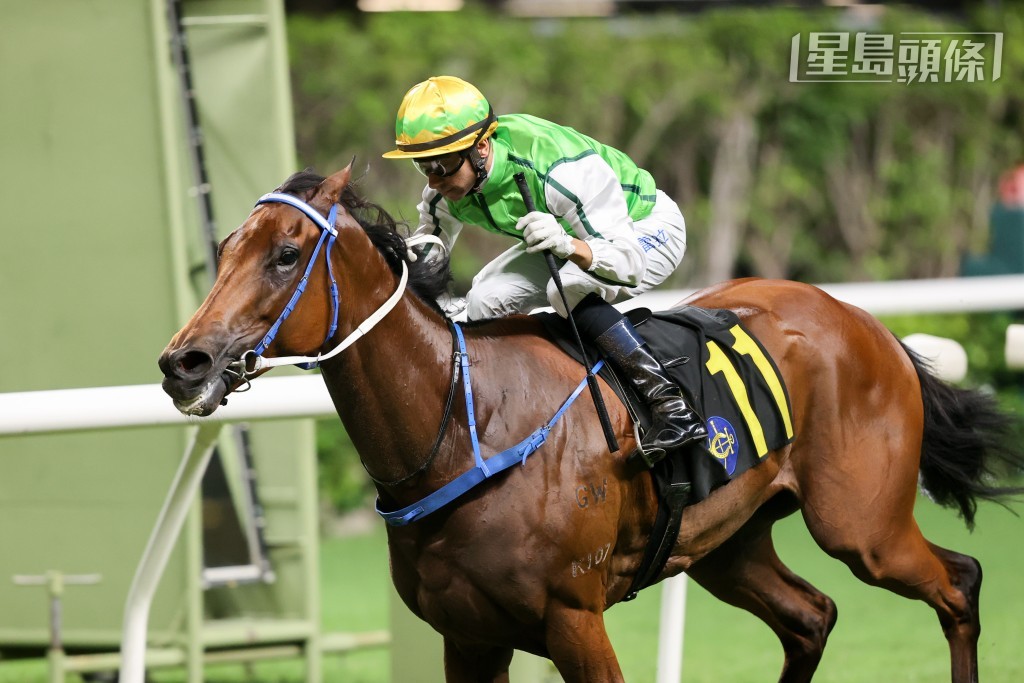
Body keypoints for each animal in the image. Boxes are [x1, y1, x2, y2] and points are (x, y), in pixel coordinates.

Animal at [158, 165, 1023, 683]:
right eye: (226, 247)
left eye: (285, 253)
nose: (184, 362)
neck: (464, 431)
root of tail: (864, 320)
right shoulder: (468, 635)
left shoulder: (574, 621)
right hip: (730, 542)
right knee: (812, 617)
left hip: (861, 524)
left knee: (959, 584)